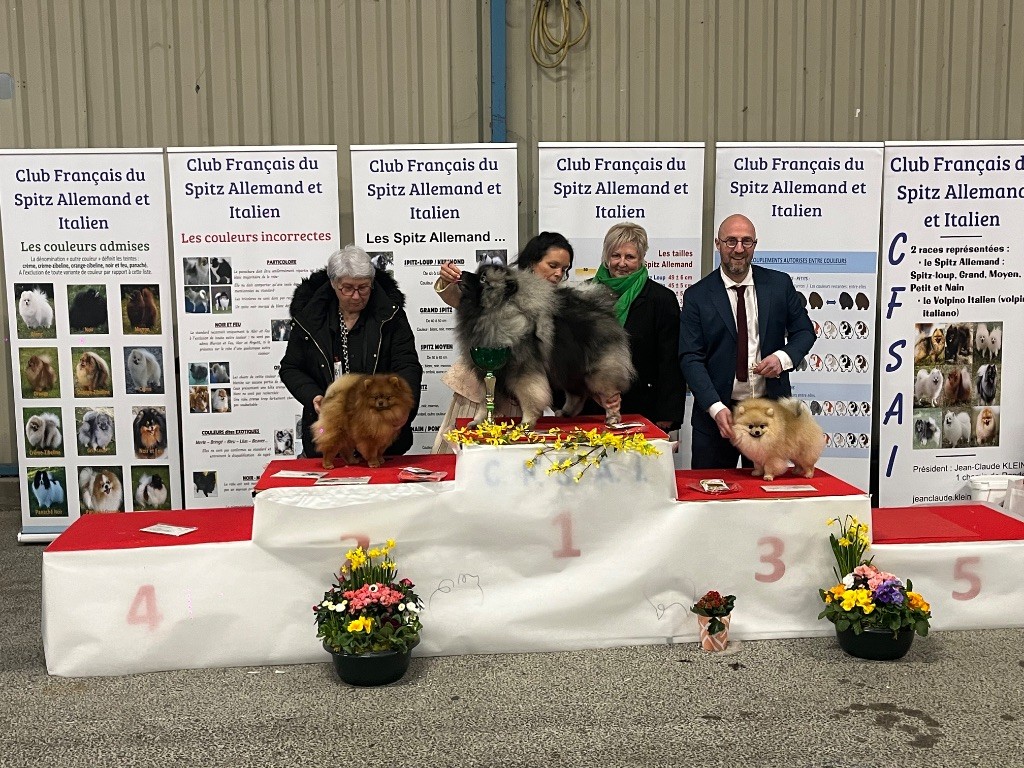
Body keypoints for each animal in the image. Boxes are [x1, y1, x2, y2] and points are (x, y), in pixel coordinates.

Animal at [454, 266, 630, 430]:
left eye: (483, 279)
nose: (462, 273)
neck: (496, 311)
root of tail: (604, 310)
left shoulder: (524, 372)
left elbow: (529, 397)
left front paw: (526, 423)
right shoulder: (488, 371)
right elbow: (485, 401)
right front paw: (478, 421)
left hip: (596, 372)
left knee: (611, 396)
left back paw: (613, 418)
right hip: (569, 370)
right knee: (577, 395)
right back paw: (566, 413)